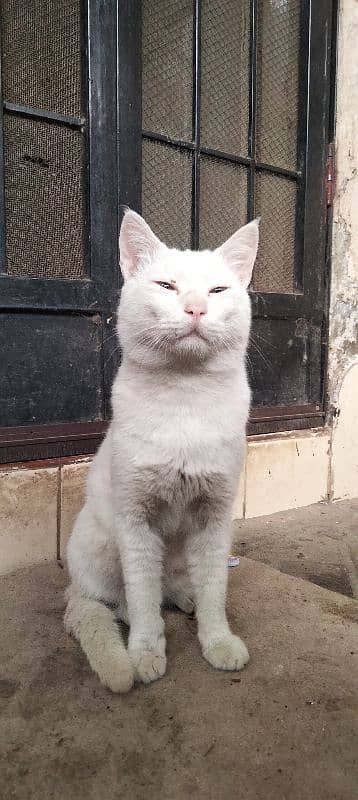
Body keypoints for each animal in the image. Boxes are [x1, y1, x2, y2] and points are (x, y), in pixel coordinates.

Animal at [64, 209, 258, 692]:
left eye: (217, 291)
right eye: (167, 286)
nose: (196, 308)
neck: (185, 399)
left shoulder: (214, 518)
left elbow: (214, 591)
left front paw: (217, 641)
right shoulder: (136, 521)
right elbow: (142, 598)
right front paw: (146, 653)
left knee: (176, 587)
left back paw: (185, 598)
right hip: (105, 542)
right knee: (118, 600)